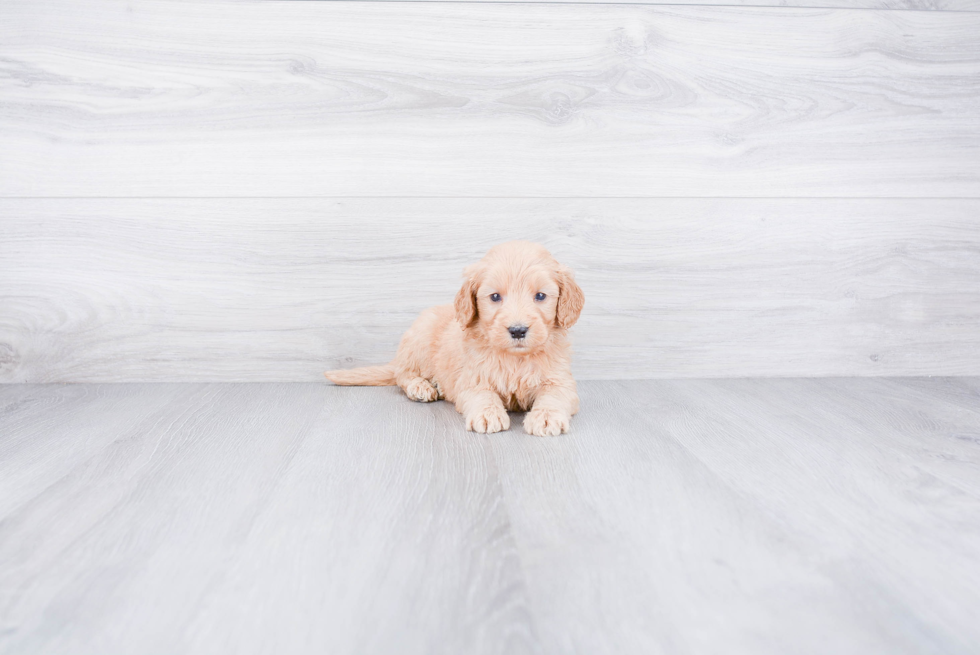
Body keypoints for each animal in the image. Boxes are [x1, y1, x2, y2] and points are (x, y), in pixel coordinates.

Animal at [324, 241, 580, 436]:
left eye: (540, 296)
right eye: (495, 297)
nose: (518, 330)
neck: (515, 358)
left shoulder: (560, 380)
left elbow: (554, 396)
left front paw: (546, 417)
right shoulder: (472, 378)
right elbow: (482, 395)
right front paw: (487, 414)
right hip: (419, 339)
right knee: (402, 374)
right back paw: (421, 386)